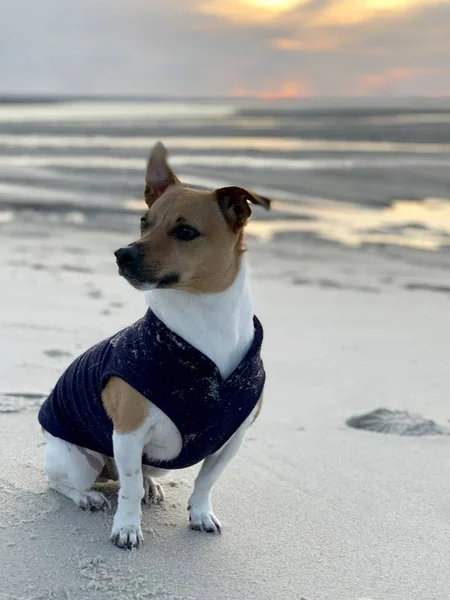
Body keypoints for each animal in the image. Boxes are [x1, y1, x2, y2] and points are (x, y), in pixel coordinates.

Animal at [38, 142, 268, 548]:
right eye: (144, 222)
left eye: (186, 231)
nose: (122, 253)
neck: (203, 323)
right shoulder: (129, 432)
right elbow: (127, 488)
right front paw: (127, 527)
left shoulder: (232, 440)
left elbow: (206, 480)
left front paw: (200, 513)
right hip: (79, 460)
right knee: (64, 482)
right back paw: (87, 496)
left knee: (140, 473)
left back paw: (150, 486)